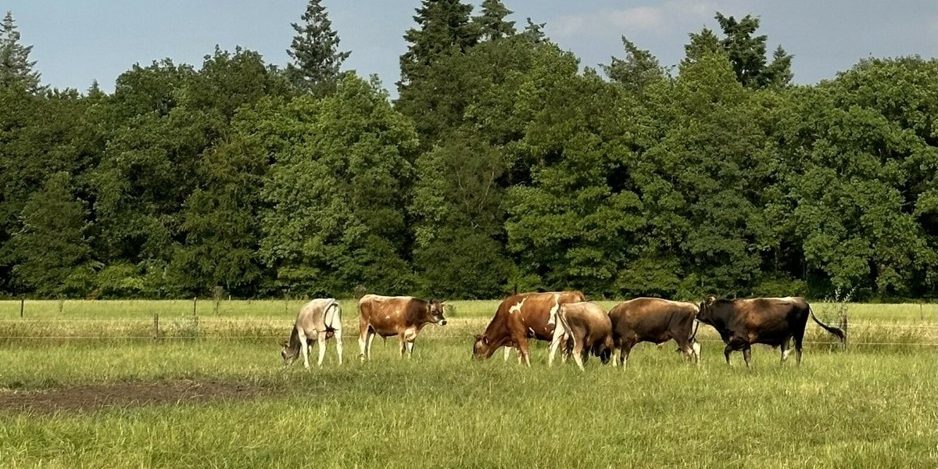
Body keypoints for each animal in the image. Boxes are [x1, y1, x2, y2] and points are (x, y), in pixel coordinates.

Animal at [692, 296, 844, 366]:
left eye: (701, 307)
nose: (696, 316)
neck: (730, 313)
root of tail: (801, 299)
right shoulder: (746, 343)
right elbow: (747, 358)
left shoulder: (739, 339)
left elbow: (726, 351)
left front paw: (730, 365)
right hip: (786, 336)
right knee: (785, 352)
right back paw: (781, 366)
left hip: (799, 333)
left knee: (798, 350)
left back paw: (796, 366)